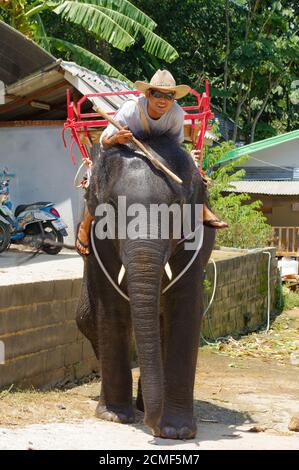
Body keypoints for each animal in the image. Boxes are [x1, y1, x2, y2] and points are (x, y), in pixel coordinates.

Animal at [75, 136, 216, 440]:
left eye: (177, 205)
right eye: (112, 205)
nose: (153, 428)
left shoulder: (195, 240)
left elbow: (186, 307)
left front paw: (177, 431)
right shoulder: (99, 240)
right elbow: (110, 305)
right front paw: (115, 417)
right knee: (87, 320)